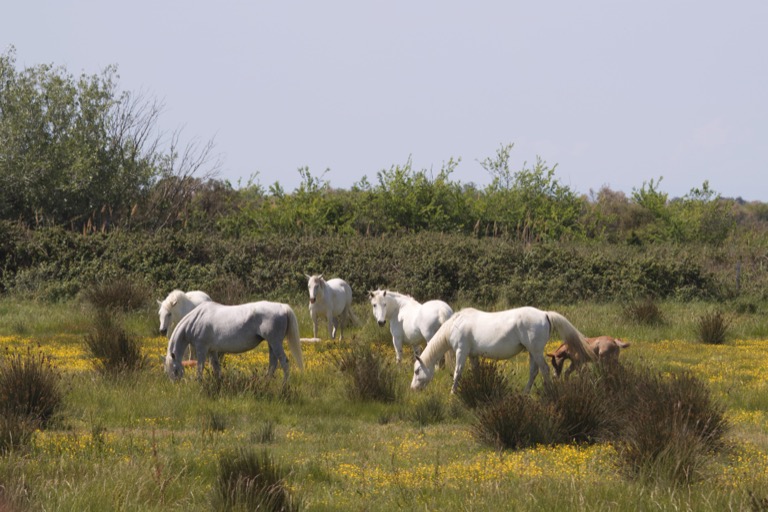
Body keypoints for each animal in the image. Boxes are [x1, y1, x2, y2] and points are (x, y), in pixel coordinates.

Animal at [165, 302, 304, 382]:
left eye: (175, 369)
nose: (175, 384)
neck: (196, 319)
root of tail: (283, 307)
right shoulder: (212, 351)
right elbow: (216, 367)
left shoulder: (201, 349)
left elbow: (200, 368)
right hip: (271, 343)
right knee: (273, 365)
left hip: (275, 342)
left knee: (284, 363)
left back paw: (284, 387)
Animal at [412, 306, 596, 394]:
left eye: (416, 371)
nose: (413, 388)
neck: (456, 324)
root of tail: (544, 314)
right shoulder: (472, 355)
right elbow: (476, 371)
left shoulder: (461, 351)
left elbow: (458, 372)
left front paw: (452, 393)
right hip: (532, 352)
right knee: (534, 371)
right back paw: (525, 393)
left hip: (536, 351)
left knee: (544, 369)